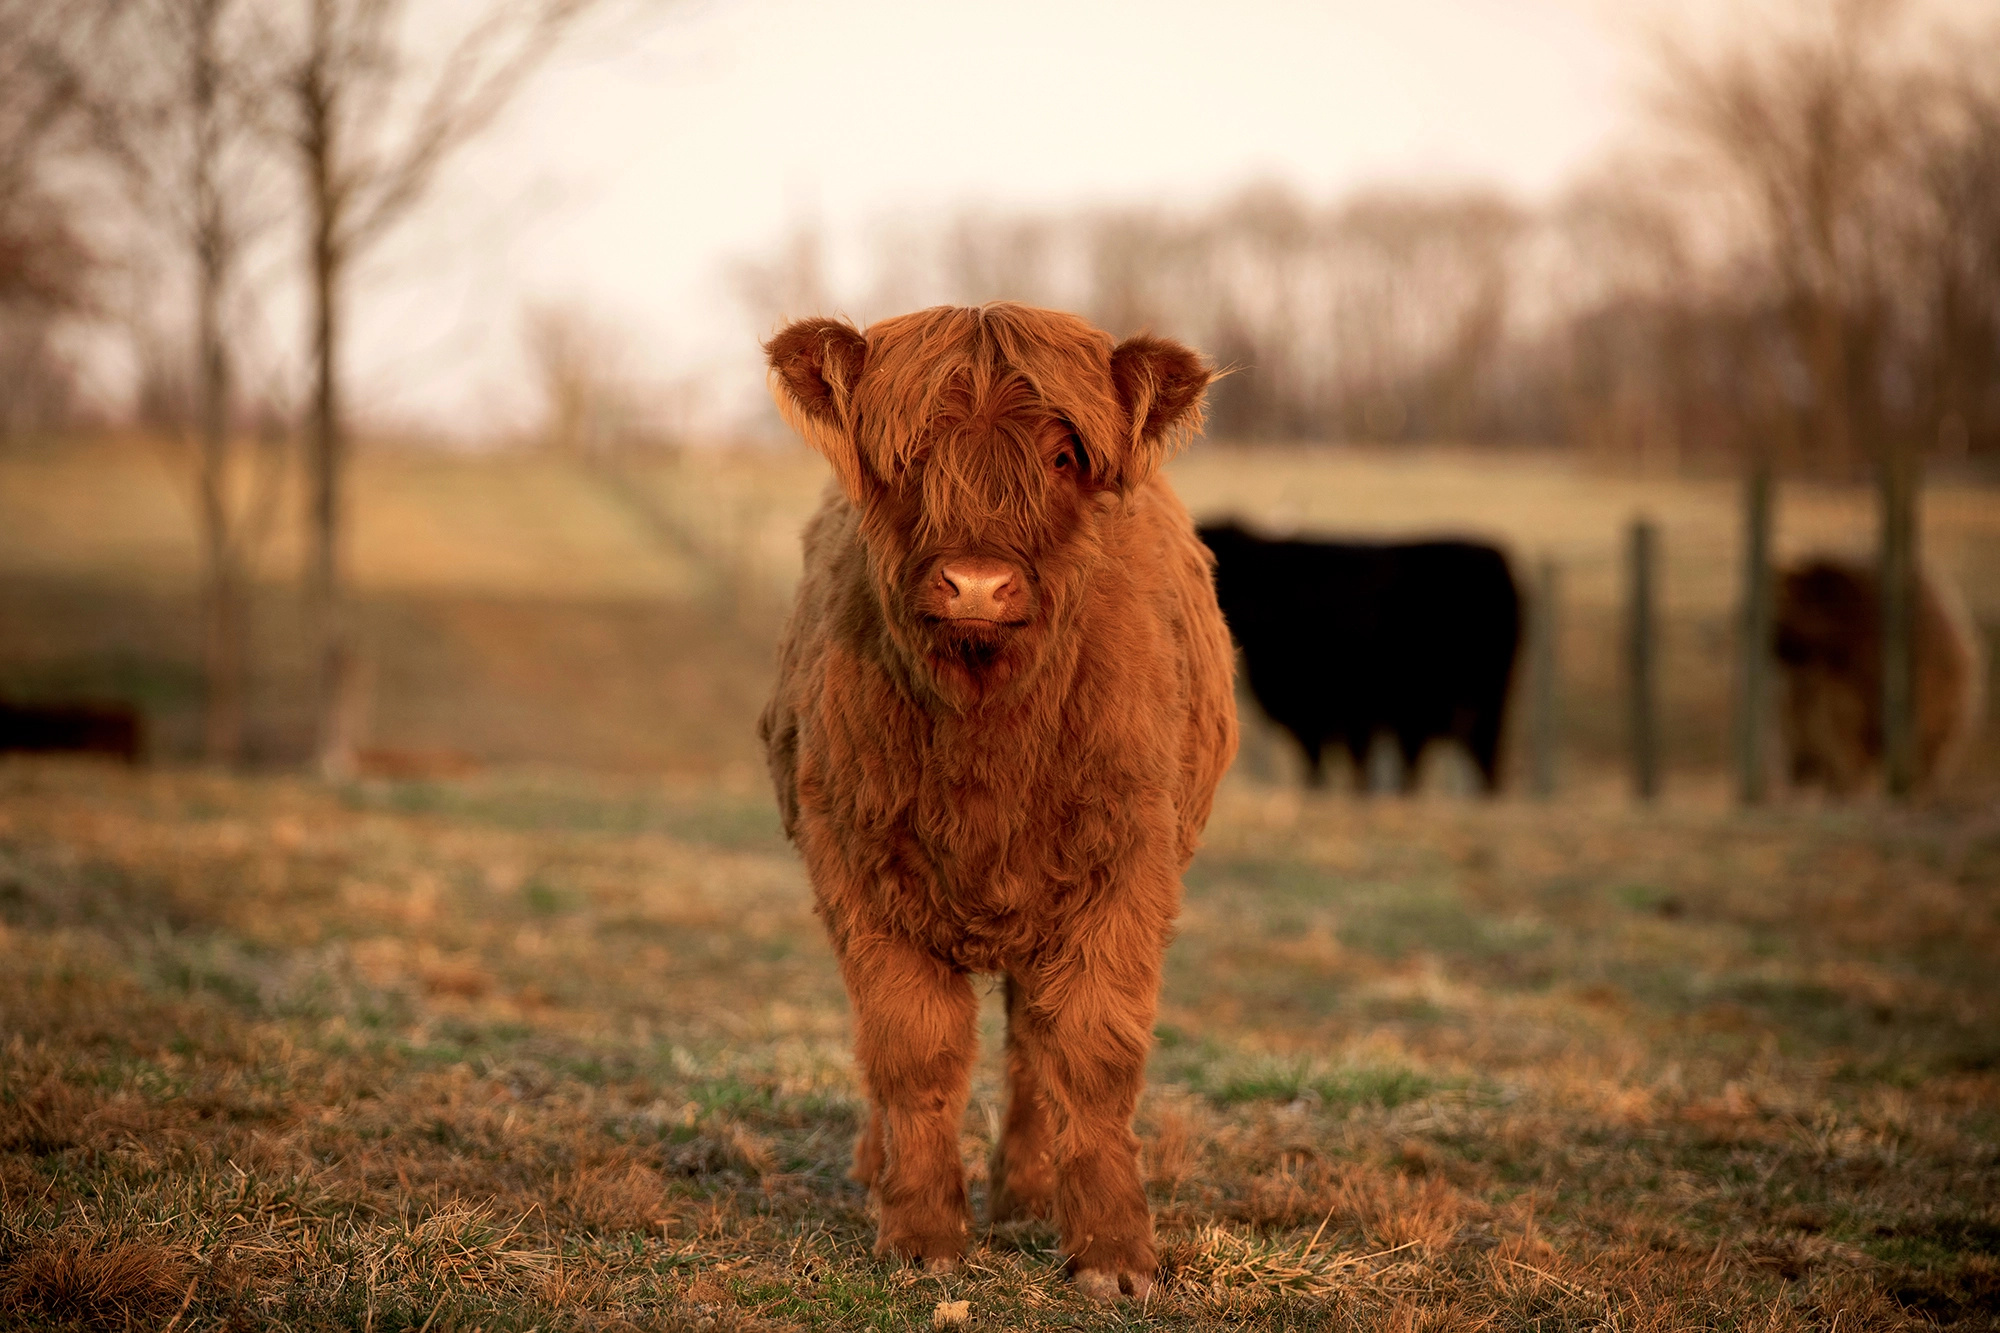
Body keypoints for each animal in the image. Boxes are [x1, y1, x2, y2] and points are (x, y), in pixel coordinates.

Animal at [760, 304, 1240, 1296]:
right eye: (908, 454)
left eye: (1062, 455)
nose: (975, 584)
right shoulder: (857, 869)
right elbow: (912, 1050)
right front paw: (921, 1233)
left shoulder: (1124, 868)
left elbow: (1090, 1054)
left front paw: (1113, 1253)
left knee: (1031, 1043)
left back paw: (1025, 1193)